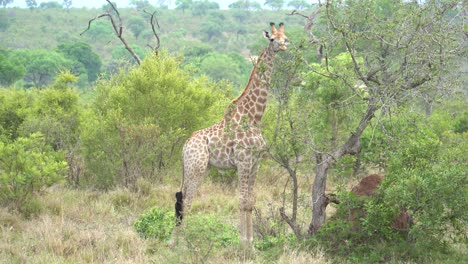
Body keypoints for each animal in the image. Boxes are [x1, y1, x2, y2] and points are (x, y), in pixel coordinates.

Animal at [174, 22, 288, 248]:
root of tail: (184, 146)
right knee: (187, 200)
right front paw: (244, 243)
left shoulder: (256, 162)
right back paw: (182, 243)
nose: (284, 45)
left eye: (285, 36)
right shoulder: (243, 161)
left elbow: (250, 201)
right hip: (196, 168)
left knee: (182, 198)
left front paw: (251, 243)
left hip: (199, 168)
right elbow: (242, 200)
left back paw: (175, 241)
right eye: (272, 39)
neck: (254, 117)